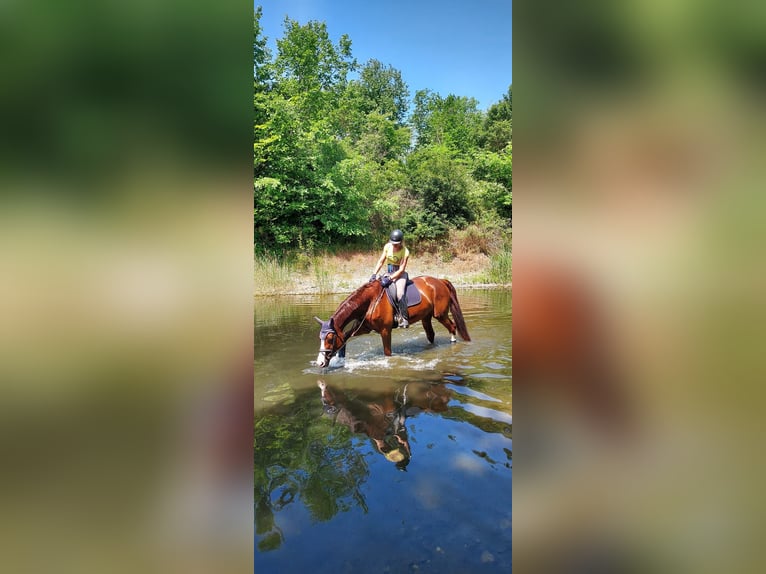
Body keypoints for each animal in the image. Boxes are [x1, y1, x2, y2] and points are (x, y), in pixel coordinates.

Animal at [314, 278, 472, 368]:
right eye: (320, 339)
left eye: (329, 339)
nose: (320, 363)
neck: (370, 301)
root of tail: (440, 281)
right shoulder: (364, 328)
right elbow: (345, 336)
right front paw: (340, 359)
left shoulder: (385, 330)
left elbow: (387, 353)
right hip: (426, 317)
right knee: (431, 335)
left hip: (440, 314)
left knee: (452, 327)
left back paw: (453, 344)